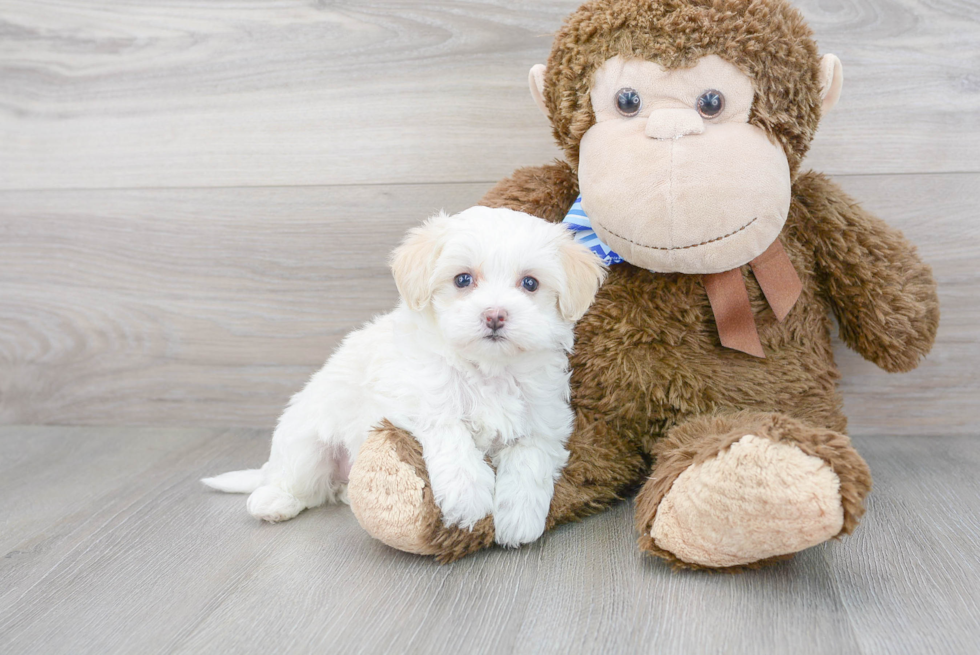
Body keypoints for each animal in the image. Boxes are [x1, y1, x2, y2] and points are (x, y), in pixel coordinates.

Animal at [202, 206, 604, 548]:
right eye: (463, 279)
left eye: (530, 284)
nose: (494, 315)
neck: (487, 369)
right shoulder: (419, 396)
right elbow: (452, 436)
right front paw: (469, 498)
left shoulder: (544, 421)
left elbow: (529, 461)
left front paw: (519, 518)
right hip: (305, 443)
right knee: (299, 482)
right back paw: (274, 501)